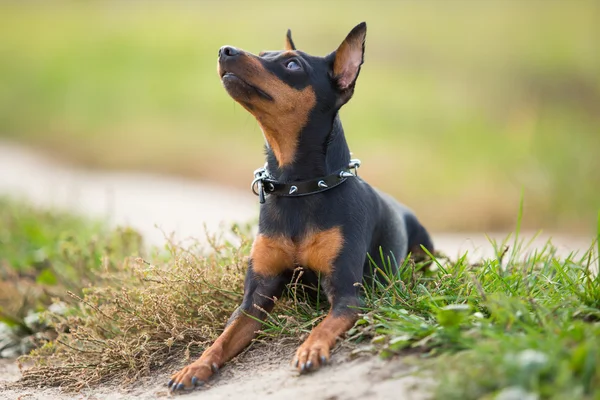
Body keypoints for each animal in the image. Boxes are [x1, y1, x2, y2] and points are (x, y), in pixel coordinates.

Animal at [166, 21, 434, 390]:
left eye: (293, 65)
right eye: (263, 54)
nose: (224, 50)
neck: (298, 190)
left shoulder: (348, 295)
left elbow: (324, 324)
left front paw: (311, 349)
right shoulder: (254, 299)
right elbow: (223, 338)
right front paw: (195, 366)